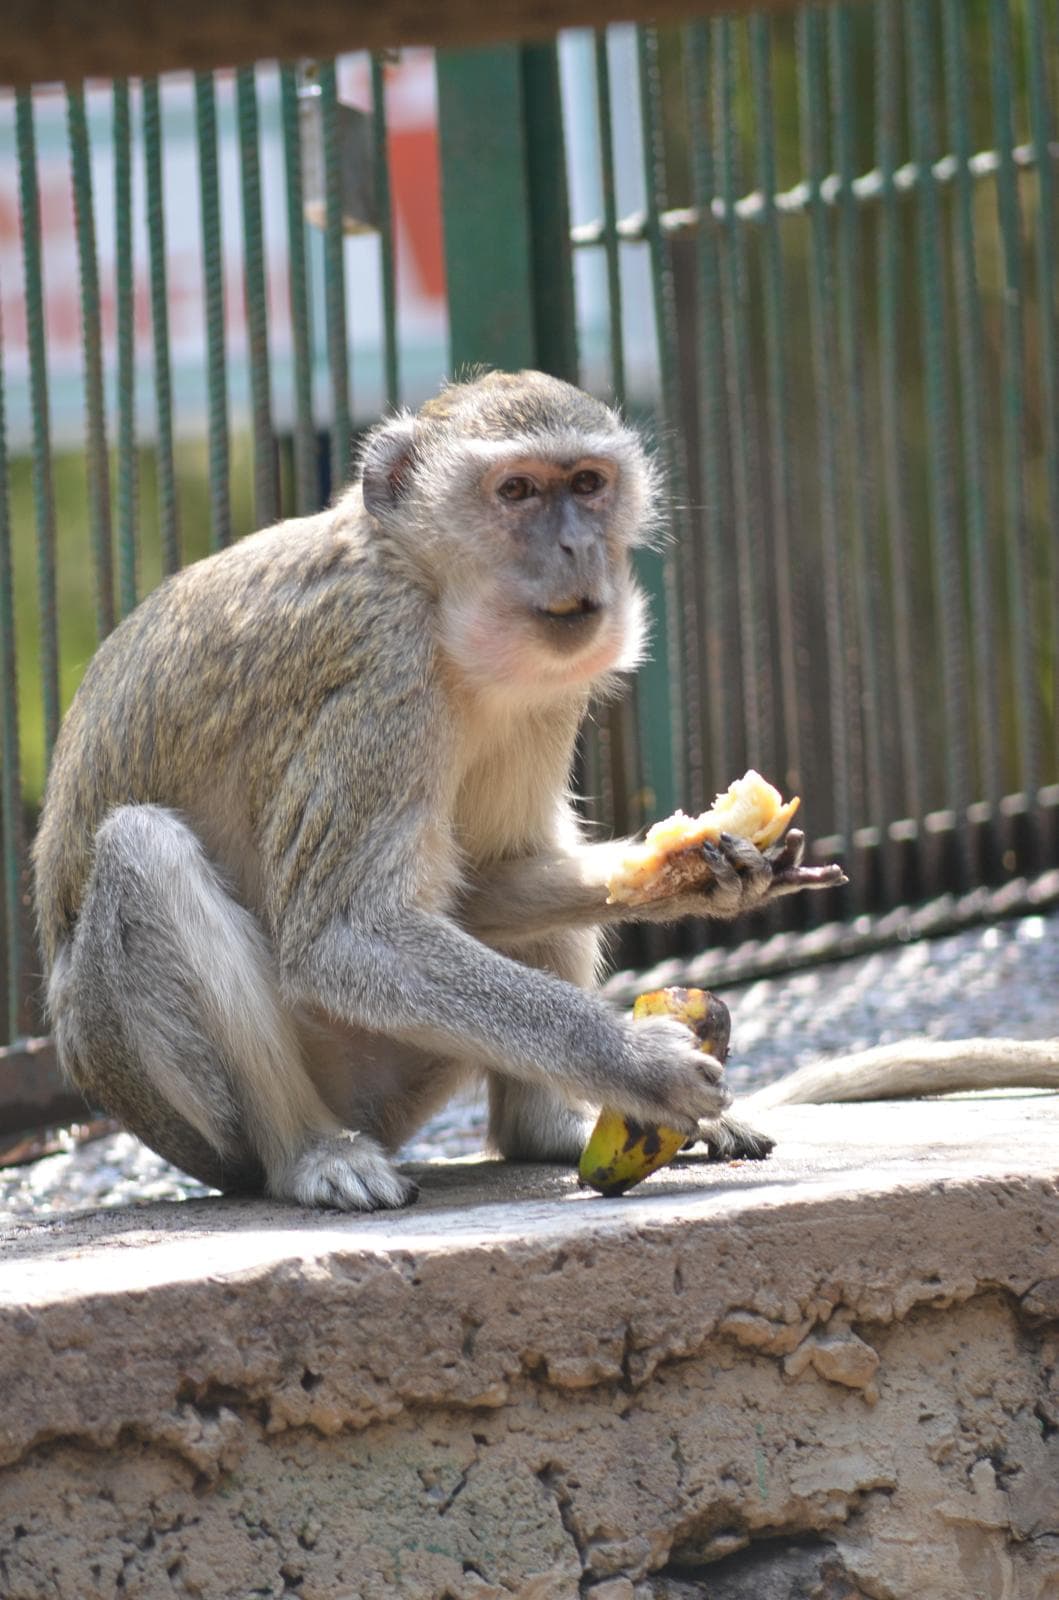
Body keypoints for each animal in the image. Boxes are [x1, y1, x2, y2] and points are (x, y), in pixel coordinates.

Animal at [39, 367, 1040, 1214]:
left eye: (587, 484)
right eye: (516, 492)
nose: (574, 546)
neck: (433, 596)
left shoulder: (545, 692)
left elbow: (490, 878)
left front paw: (703, 871)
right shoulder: (380, 675)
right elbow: (344, 935)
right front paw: (635, 1063)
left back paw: (543, 1132)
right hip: (202, 1110)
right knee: (142, 850)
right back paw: (309, 1154)